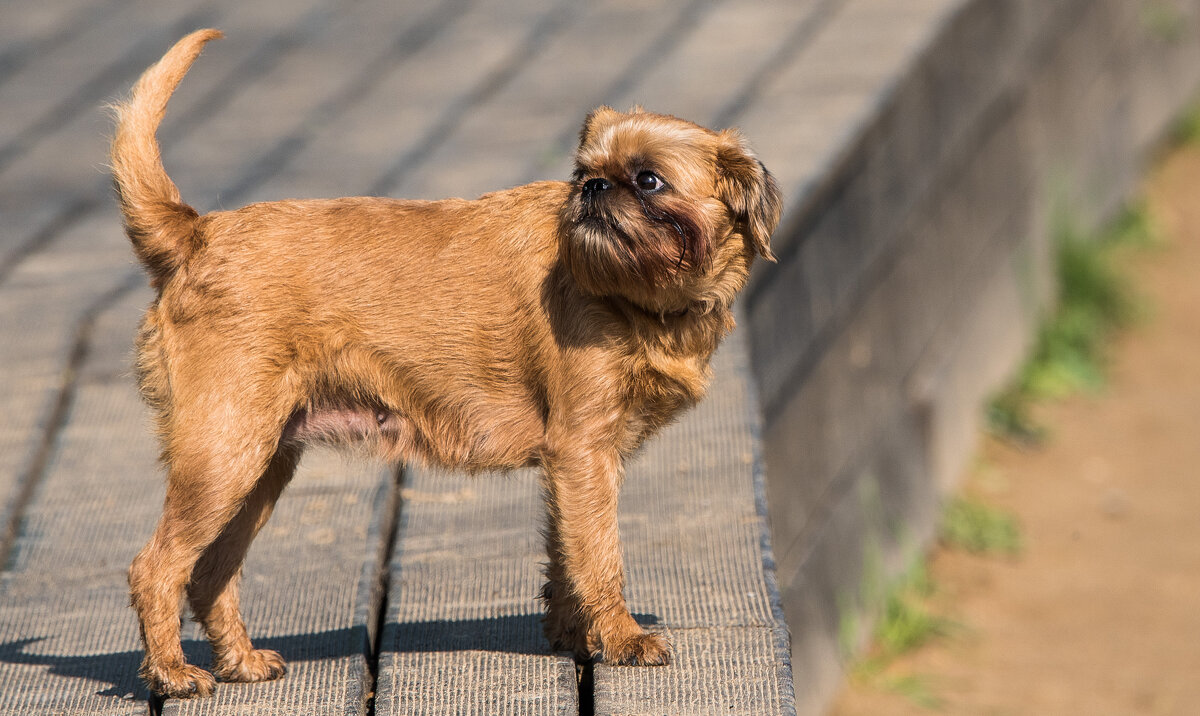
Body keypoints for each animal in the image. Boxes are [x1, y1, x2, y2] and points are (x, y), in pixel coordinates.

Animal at [110, 29, 787, 700]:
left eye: (648, 181)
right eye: (583, 173)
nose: (592, 188)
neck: (635, 296)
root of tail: (195, 234)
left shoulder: (570, 466)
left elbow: (565, 554)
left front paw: (572, 634)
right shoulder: (584, 452)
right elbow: (598, 555)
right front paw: (621, 638)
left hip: (261, 465)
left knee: (210, 573)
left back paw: (241, 662)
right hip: (225, 455)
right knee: (156, 566)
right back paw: (172, 672)